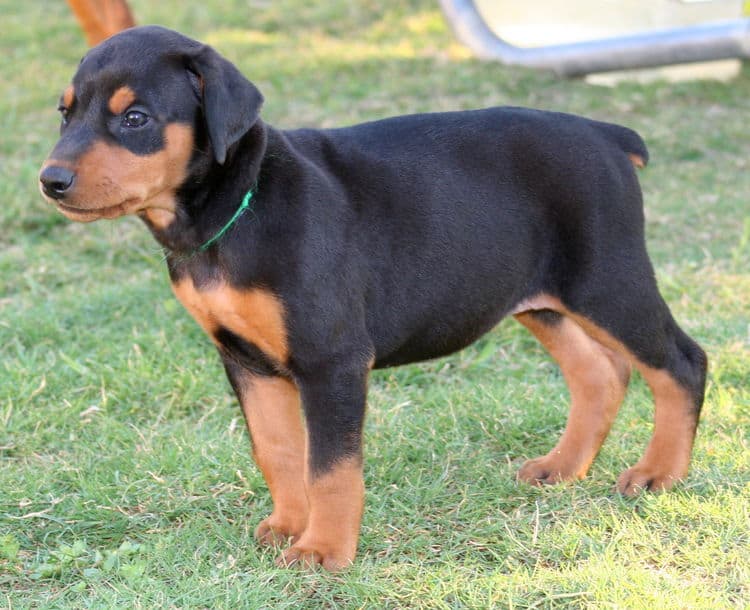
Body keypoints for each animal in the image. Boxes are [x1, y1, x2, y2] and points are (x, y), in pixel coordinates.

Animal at [39, 26, 712, 568]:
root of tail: (605, 135)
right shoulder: (245, 361)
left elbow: (331, 467)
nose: (51, 181)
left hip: (607, 279)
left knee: (681, 362)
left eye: (135, 119)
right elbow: (279, 450)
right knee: (601, 372)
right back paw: (563, 466)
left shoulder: (332, 360)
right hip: (539, 297)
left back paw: (659, 473)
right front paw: (288, 525)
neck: (238, 208)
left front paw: (322, 550)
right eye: (65, 113)